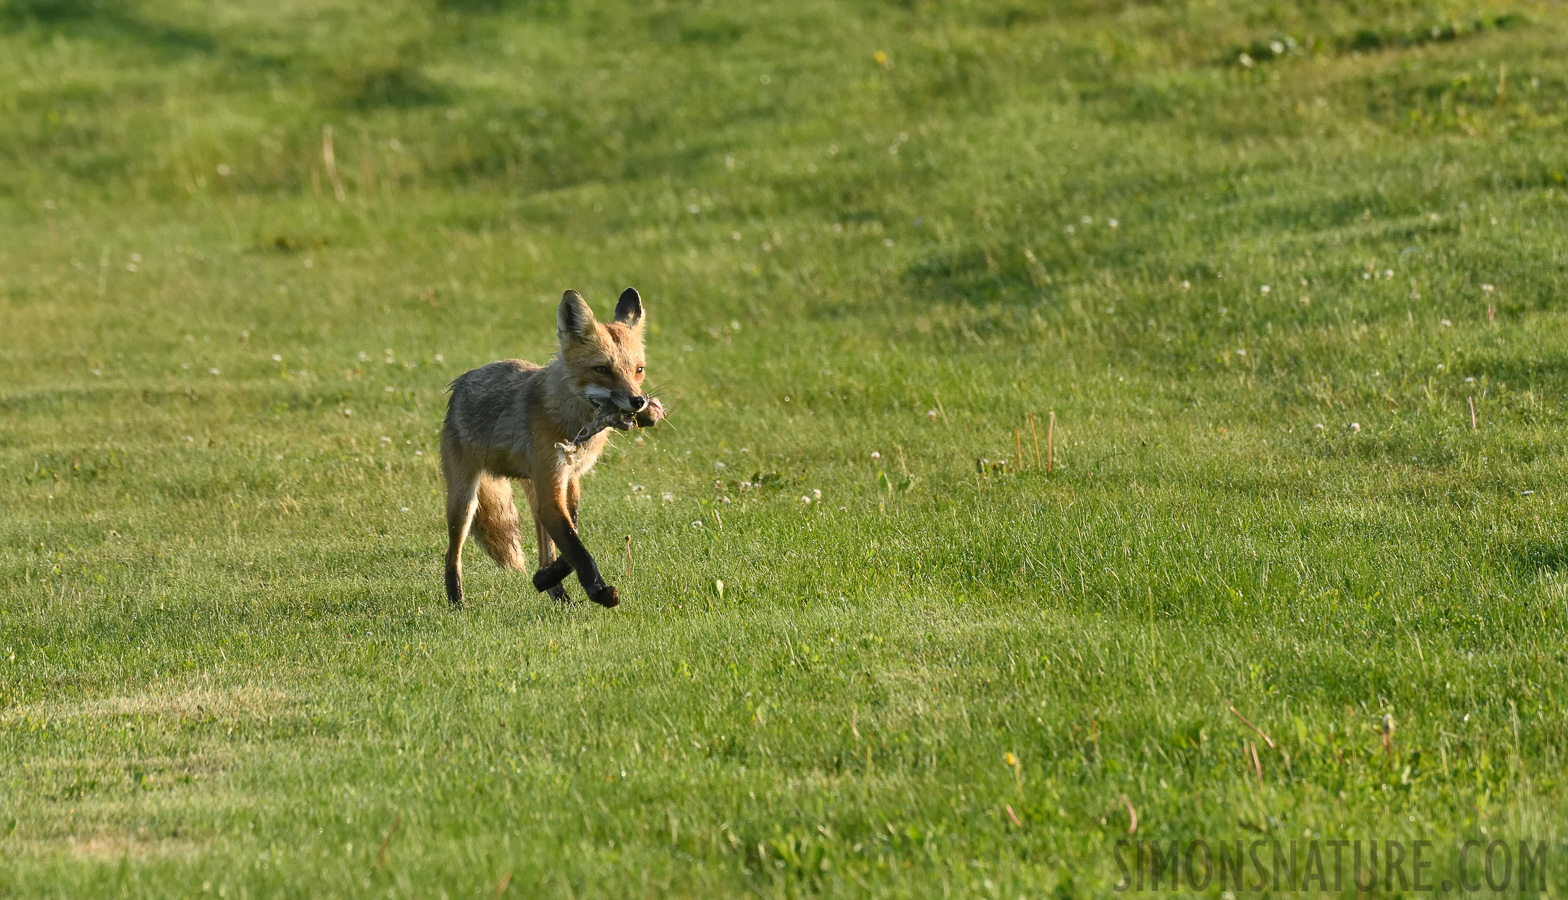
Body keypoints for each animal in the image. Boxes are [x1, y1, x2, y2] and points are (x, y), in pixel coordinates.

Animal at [442, 288, 661, 614]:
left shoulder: (569, 480)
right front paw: (600, 592)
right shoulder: (552, 488)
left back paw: (557, 593)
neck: (567, 418)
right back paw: (457, 602)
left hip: (532, 493)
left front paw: (544, 579)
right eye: (602, 369)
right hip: (464, 501)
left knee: (545, 550)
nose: (639, 402)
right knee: (451, 554)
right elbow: (577, 549)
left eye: (639, 370)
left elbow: (571, 538)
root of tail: (461, 381)